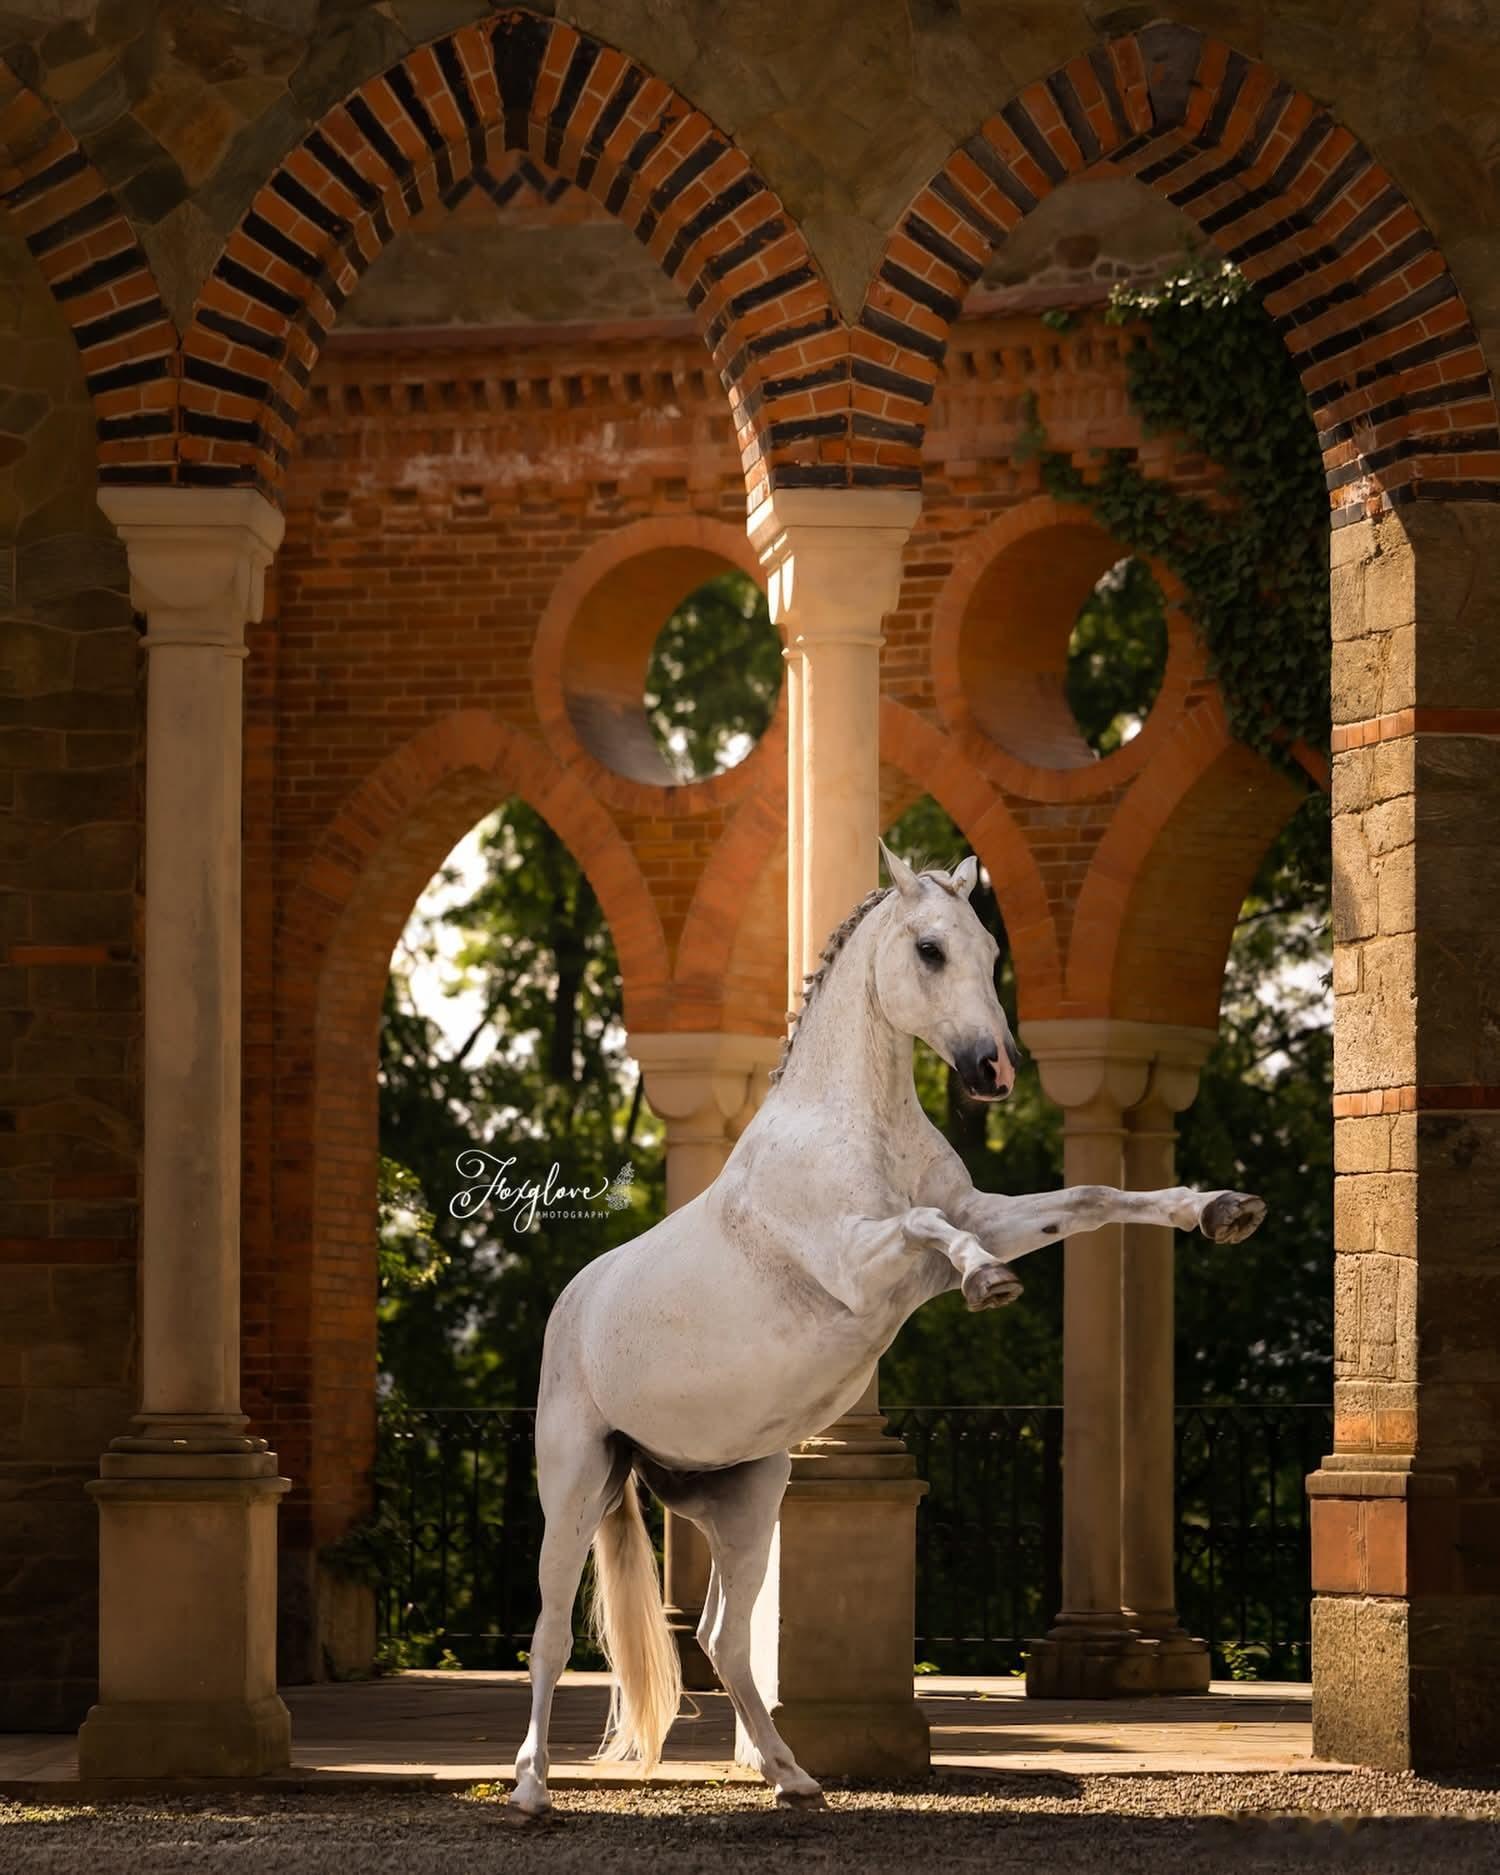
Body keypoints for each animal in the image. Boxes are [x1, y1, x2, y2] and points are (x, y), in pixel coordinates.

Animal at [507, 844, 1265, 1818]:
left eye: (990, 950)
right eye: (930, 949)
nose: (993, 1071)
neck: (851, 1125)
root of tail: (575, 1302)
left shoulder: (981, 1216)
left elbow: (1091, 1199)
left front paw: (1221, 1208)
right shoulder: (865, 1263)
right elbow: (929, 1226)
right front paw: (990, 1281)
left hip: (745, 1498)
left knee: (723, 1638)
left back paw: (793, 1777)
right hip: (575, 1486)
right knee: (551, 1634)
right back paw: (532, 1788)